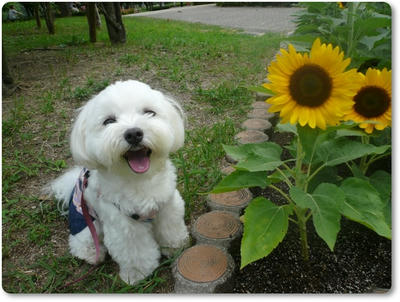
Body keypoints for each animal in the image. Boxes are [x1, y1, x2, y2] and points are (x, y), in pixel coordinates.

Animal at [48, 79, 189, 284]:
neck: (138, 181)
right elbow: (134, 252)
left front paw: (176, 246)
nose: (133, 133)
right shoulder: (123, 225)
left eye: (149, 112)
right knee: (81, 241)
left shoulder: (168, 206)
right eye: (108, 121)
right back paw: (92, 254)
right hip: (85, 222)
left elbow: (171, 229)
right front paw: (138, 275)